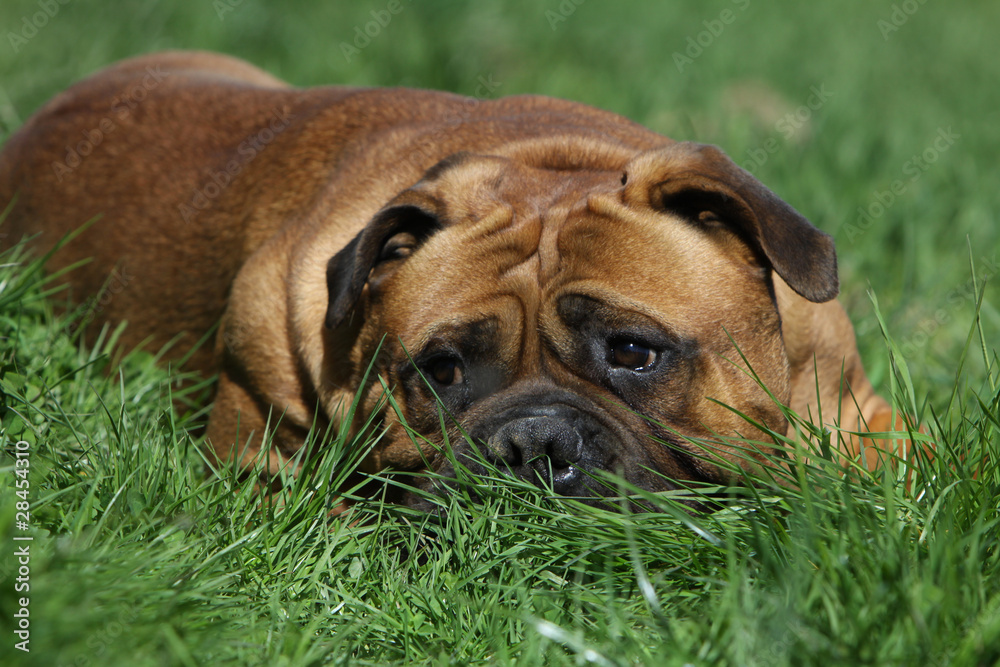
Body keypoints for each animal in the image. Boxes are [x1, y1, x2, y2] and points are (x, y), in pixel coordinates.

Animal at [0, 49, 904, 504]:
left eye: (633, 352)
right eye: (441, 370)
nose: (535, 444)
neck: (549, 160)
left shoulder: (856, 408)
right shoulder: (257, 453)